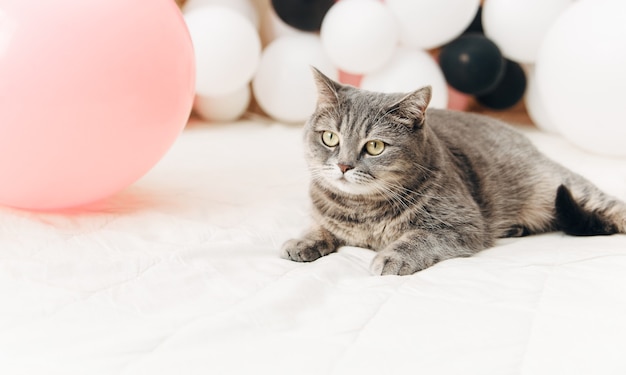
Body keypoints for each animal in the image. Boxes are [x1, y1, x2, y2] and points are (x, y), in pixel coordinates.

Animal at [280, 69, 624, 276]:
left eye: (375, 146)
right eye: (330, 138)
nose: (343, 165)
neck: (362, 210)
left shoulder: (461, 225)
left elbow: (417, 238)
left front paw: (392, 256)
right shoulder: (323, 212)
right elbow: (319, 226)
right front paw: (303, 241)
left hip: (563, 188)